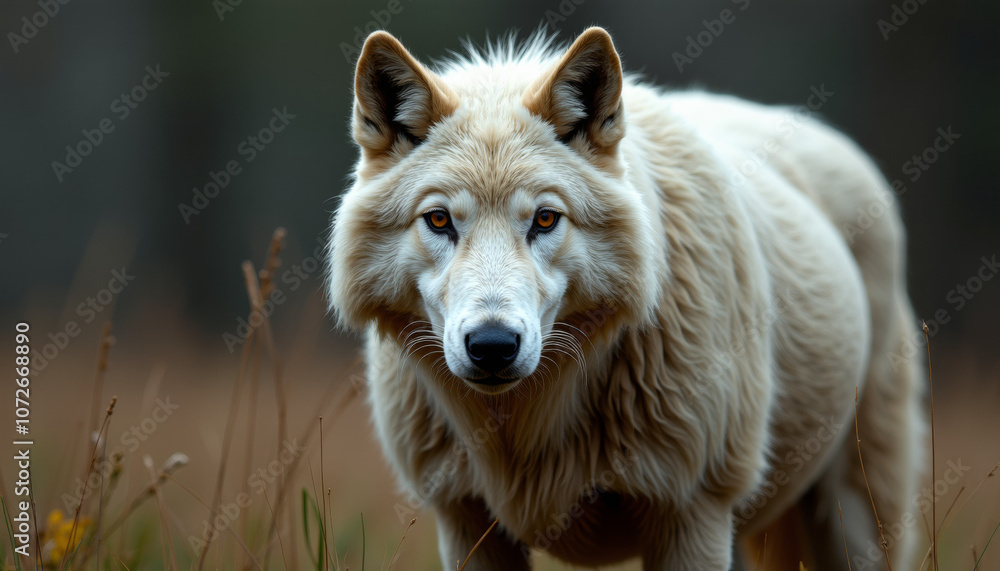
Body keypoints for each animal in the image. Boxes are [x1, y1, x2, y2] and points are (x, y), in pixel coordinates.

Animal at [327, 27, 924, 570]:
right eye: (439, 220)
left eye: (546, 219)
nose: (492, 345)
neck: (523, 429)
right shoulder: (465, 520)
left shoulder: (691, 513)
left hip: (852, 516)